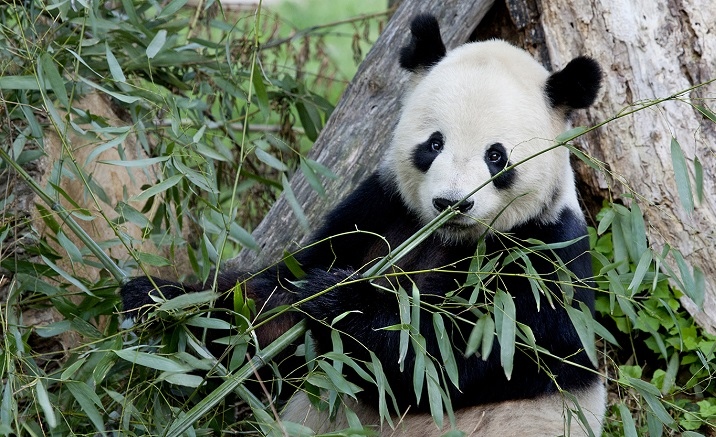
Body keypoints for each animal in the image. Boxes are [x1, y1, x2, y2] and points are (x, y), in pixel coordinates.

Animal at [121, 14, 605, 437]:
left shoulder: (545, 256)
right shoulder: (380, 210)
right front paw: (159, 299)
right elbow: (270, 314)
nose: (452, 203)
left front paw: (338, 300)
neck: (448, 238)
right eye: (434, 144)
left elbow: (460, 357)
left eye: (496, 155)